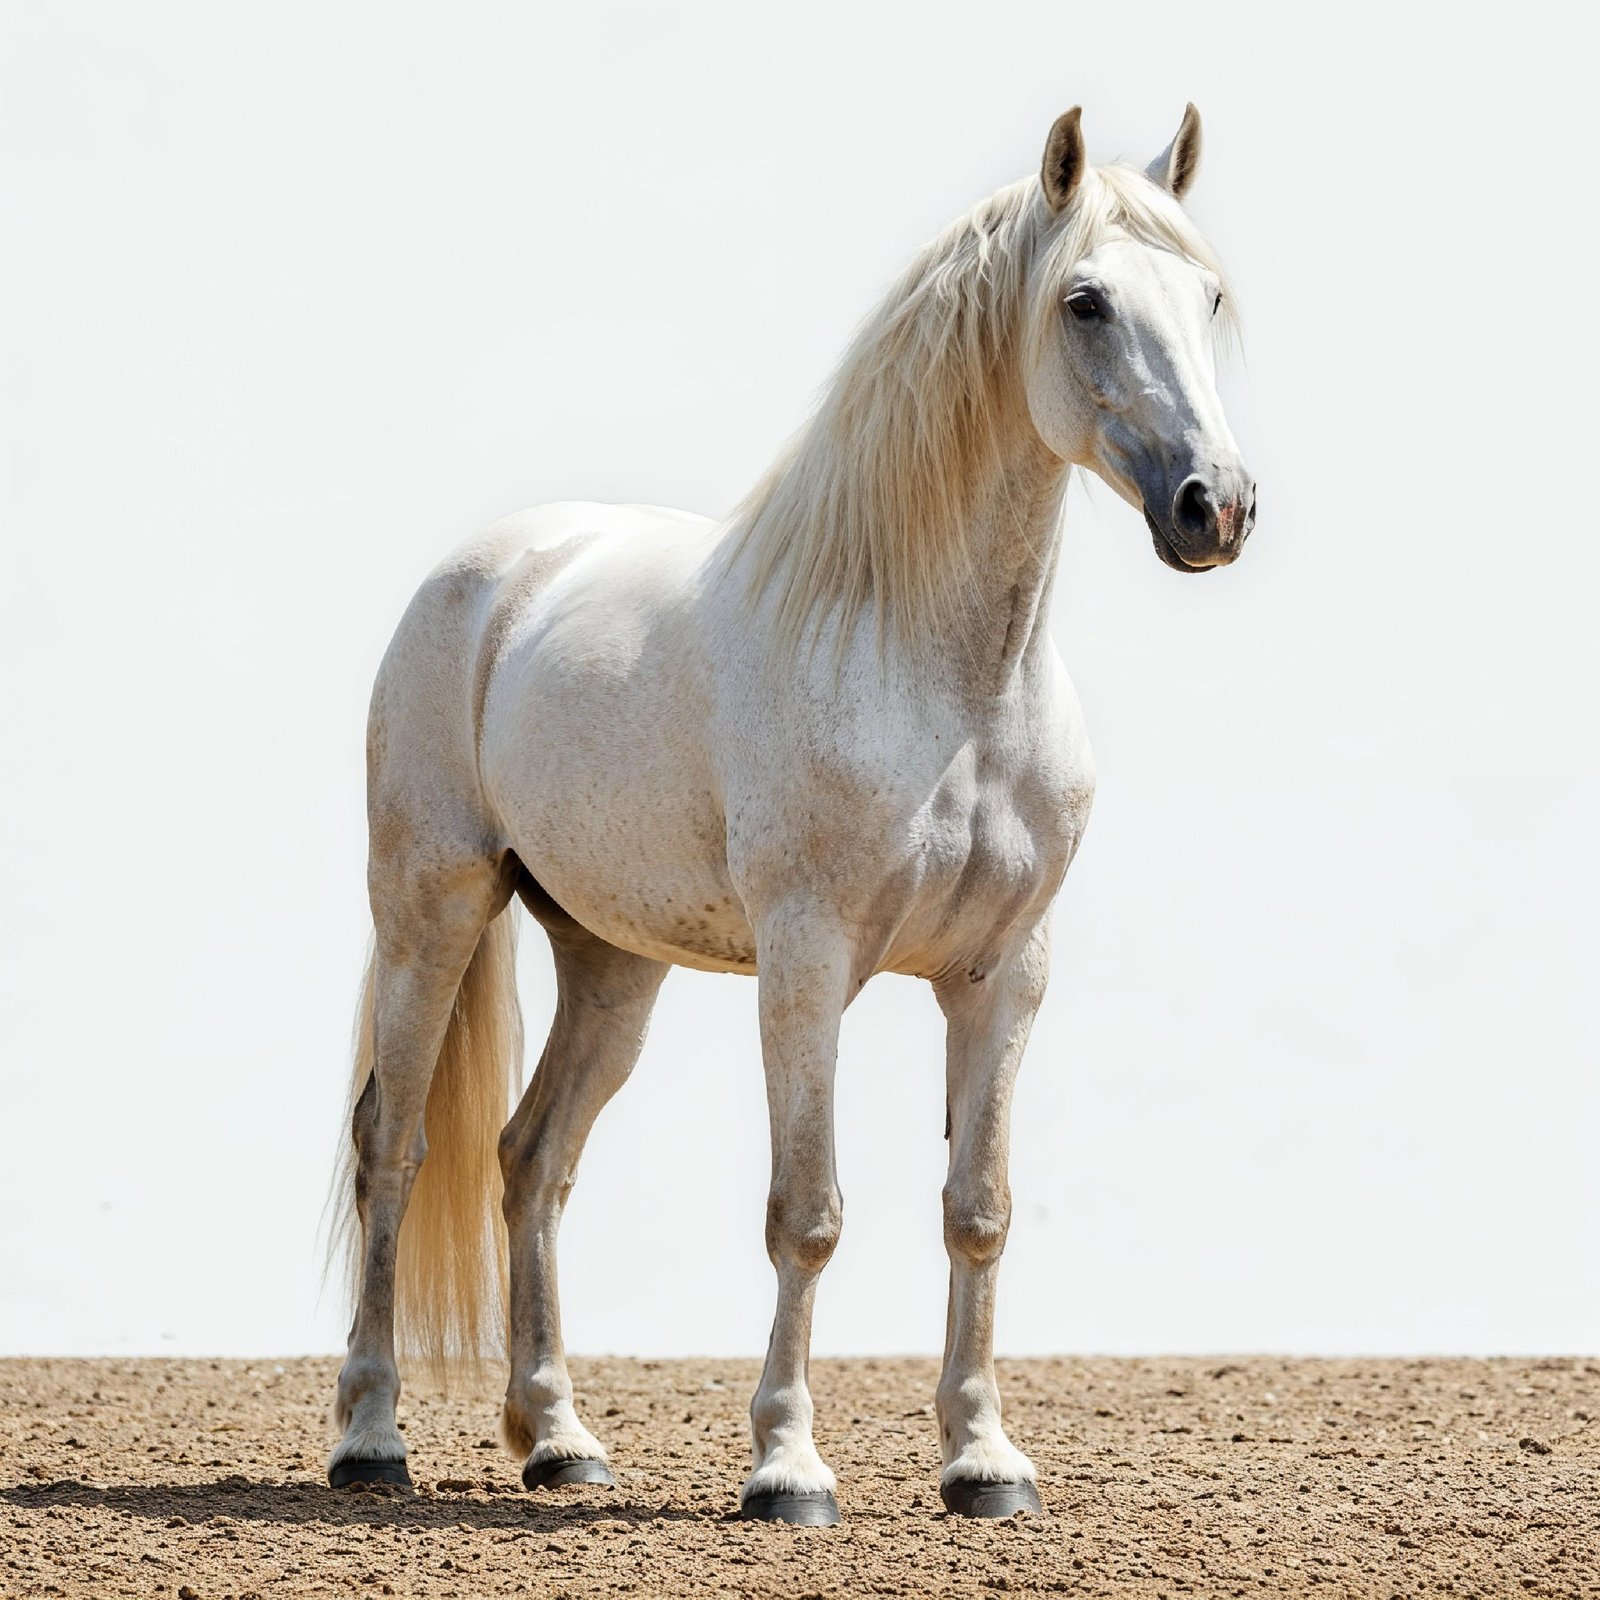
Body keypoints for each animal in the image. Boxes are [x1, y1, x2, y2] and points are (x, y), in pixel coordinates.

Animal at [328, 103, 1255, 1524]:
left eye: (1208, 297)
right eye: (1085, 301)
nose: (1216, 506)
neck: (945, 677)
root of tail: (490, 572)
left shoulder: (1004, 974)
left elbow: (978, 1208)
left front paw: (983, 1460)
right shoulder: (808, 964)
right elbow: (805, 1212)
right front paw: (787, 1467)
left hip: (611, 960)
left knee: (531, 1157)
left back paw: (560, 1439)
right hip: (432, 907)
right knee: (396, 1142)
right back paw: (372, 1436)